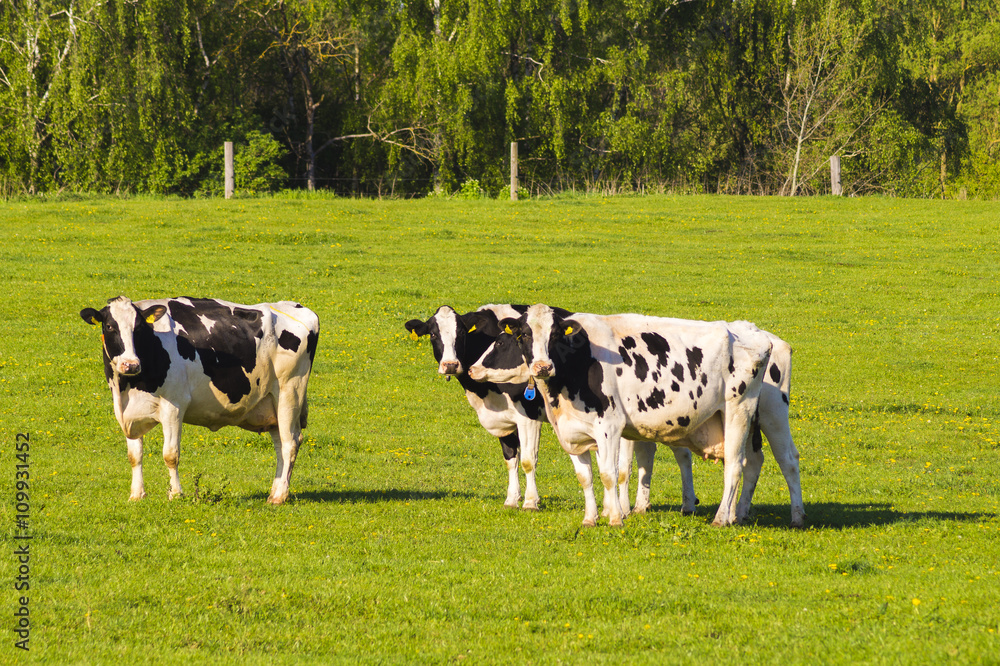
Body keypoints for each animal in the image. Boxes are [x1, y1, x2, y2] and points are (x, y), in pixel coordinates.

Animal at [80, 296, 318, 504]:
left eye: (138, 328)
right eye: (109, 327)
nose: (130, 364)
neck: (129, 386)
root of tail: (298, 307)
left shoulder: (174, 406)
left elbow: (170, 454)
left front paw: (176, 494)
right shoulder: (127, 413)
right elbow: (134, 455)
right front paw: (137, 495)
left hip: (290, 391)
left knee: (290, 443)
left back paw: (280, 497)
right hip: (270, 403)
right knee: (280, 444)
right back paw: (274, 492)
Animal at [406, 304, 704, 516]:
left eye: (459, 334)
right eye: (434, 334)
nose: (451, 364)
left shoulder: (527, 415)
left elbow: (528, 460)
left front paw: (530, 502)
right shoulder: (505, 420)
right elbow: (510, 458)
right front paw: (511, 499)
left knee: (678, 455)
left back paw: (680, 504)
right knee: (649, 454)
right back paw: (644, 505)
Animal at [468, 304, 804, 528]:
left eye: (555, 336)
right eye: (523, 335)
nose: (541, 367)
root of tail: (755, 332)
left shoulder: (610, 426)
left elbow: (610, 473)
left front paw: (616, 517)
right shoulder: (571, 432)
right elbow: (586, 476)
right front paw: (591, 518)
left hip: (752, 410)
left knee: (759, 462)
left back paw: (751, 518)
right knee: (752, 461)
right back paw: (739, 514)